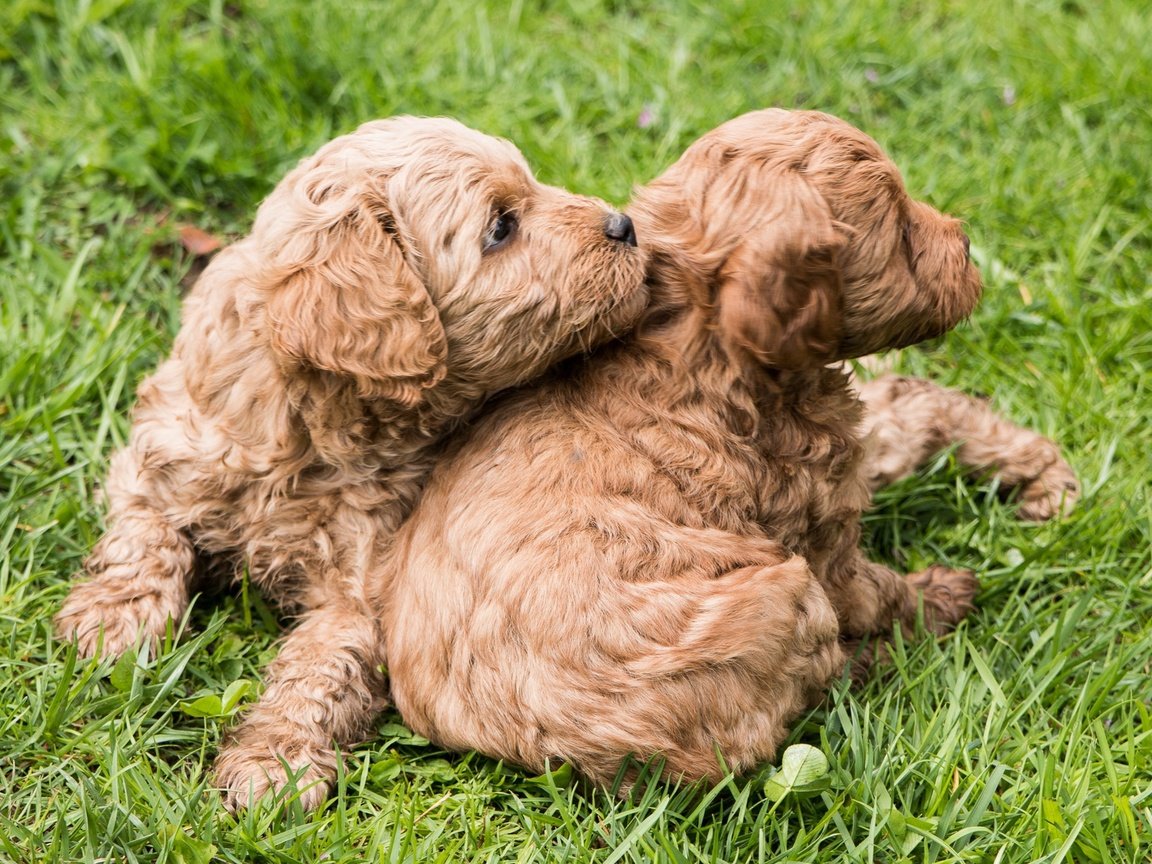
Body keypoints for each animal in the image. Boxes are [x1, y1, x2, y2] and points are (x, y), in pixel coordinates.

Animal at [56, 116, 649, 811]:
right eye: (501, 226)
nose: (624, 225)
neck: (305, 426)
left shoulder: (364, 580)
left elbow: (319, 670)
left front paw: (275, 763)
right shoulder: (163, 444)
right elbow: (145, 533)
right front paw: (112, 620)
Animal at [377, 111, 981, 787]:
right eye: (901, 229)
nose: (966, 243)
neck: (699, 334)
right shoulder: (823, 531)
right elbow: (875, 591)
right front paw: (938, 596)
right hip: (786, 594)